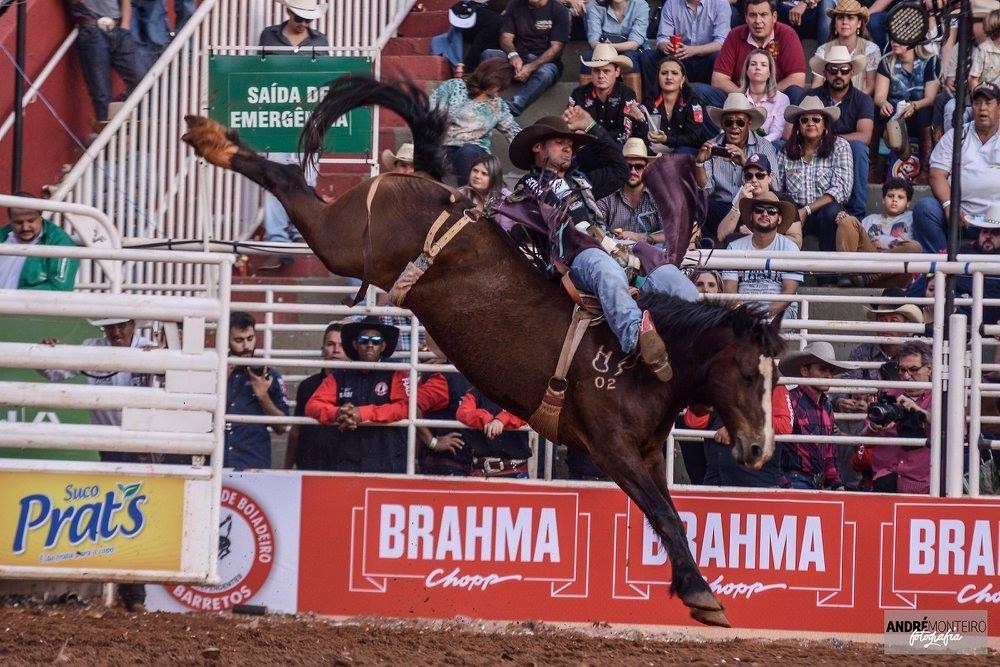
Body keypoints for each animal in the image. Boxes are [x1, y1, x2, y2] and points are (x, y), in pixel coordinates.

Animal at [184, 75, 784, 628]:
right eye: (747, 375)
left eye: (775, 379)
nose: (759, 450)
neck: (645, 365)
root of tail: (437, 189)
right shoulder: (611, 448)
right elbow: (662, 512)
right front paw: (702, 595)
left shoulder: (647, 454)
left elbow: (670, 515)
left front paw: (696, 589)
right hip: (341, 239)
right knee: (292, 186)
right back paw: (211, 139)